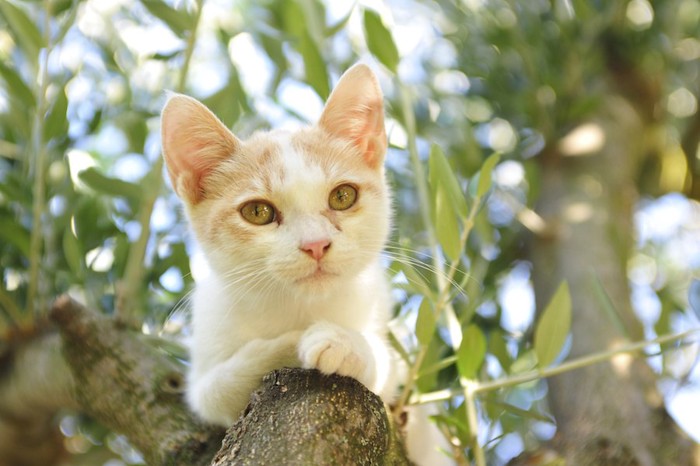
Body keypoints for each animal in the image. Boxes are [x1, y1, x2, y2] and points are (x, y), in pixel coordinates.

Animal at [161, 64, 396, 426]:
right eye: (258, 212)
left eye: (343, 196)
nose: (316, 244)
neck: (296, 304)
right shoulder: (204, 379)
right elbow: (221, 387)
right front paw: (296, 340)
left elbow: (388, 362)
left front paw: (346, 341)